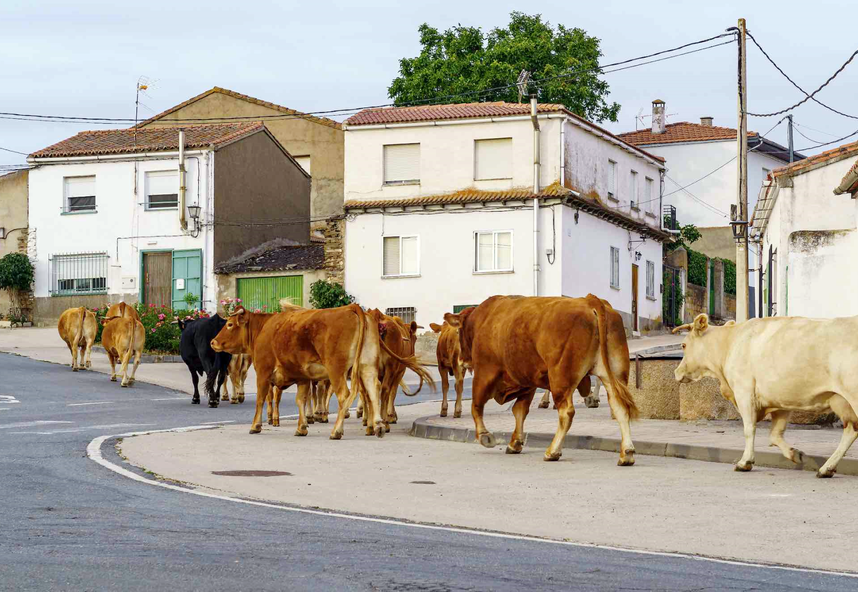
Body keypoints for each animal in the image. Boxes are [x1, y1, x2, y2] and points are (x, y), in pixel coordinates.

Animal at [211, 306, 432, 440]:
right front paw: (301, 427)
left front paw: (255, 426)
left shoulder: (264, 372)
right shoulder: (302, 377)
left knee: (345, 395)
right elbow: (301, 400)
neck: (265, 328)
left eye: (229, 324)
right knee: (374, 390)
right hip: (367, 367)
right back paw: (377, 425)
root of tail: (353, 308)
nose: (213, 341)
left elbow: (260, 399)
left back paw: (337, 431)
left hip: (337, 370)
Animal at [442, 294, 636, 464]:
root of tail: (589, 300)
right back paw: (626, 453)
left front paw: (485, 436)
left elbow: (476, 405)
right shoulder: (526, 381)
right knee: (620, 407)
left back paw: (553, 451)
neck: (484, 319)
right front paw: (515, 443)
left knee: (566, 412)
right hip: (614, 374)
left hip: (561, 377)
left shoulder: (485, 372)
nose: (461, 360)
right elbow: (519, 411)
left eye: (458, 331)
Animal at [672, 314, 856, 476]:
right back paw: (826, 468)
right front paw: (794, 454)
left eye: (683, 345)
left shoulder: (744, 391)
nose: (676, 372)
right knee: (851, 430)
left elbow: (749, 428)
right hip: (841, 401)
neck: (729, 344)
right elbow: (775, 434)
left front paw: (745, 462)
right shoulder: (781, 399)